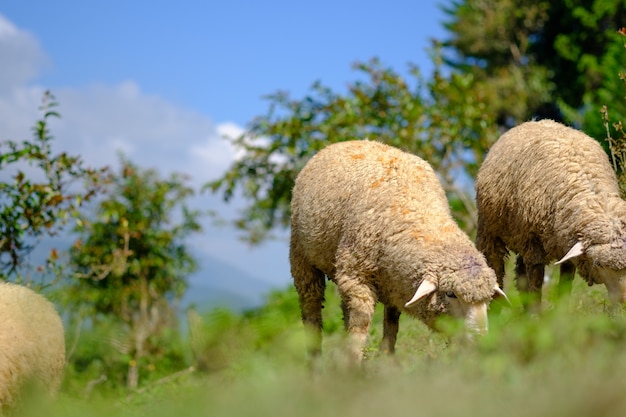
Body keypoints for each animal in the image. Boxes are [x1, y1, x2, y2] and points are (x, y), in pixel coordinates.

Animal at [288, 139, 502, 360]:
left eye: (487, 299)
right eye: (451, 294)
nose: (480, 338)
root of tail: (348, 142)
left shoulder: (394, 283)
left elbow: (391, 323)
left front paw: (386, 358)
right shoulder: (356, 276)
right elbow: (361, 324)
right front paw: (353, 362)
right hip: (302, 257)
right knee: (311, 308)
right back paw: (315, 359)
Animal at [472, 118, 624, 310]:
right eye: (599, 264)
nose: (624, 302)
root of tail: (535, 121)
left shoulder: (565, 243)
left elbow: (565, 282)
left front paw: (560, 311)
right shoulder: (533, 242)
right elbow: (536, 281)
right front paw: (536, 313)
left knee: (520, 274)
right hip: (491, 231)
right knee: (496, 265)